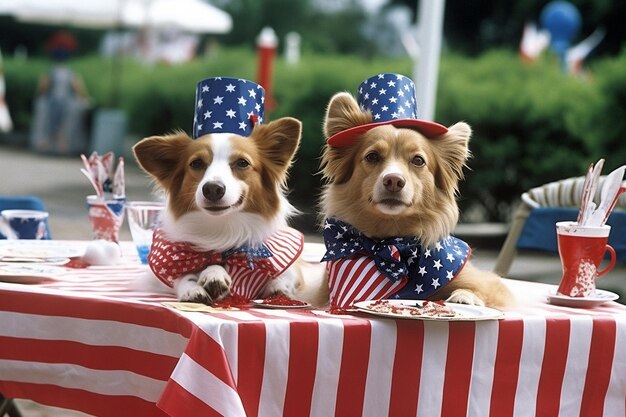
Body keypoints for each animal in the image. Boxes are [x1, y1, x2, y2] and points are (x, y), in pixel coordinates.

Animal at [320, 83, 510, 308]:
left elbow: (481, 290)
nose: (394, 180)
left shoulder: (487, 282)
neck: (390, 242)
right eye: (372, 156)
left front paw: (465, 298)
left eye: (418, 160)